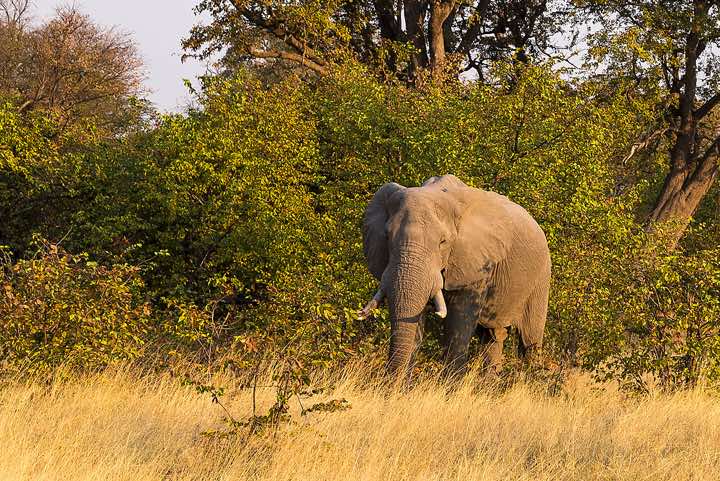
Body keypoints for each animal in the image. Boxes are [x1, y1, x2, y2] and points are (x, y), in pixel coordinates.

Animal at [359, 174, 551, 379]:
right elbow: (414, 318)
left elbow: (459, 320)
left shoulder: (478, 262)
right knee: (493, 336)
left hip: (541, 277)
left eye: (443, 242)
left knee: (530, 339)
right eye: (387, 236)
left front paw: (451, 384)